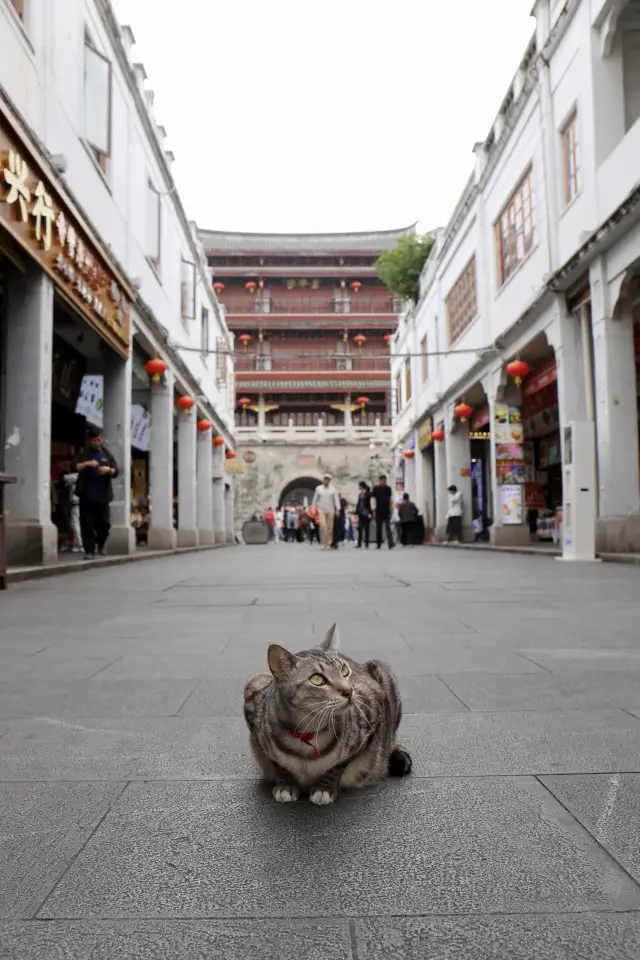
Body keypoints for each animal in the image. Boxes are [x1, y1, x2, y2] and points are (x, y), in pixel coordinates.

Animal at [242, 624, 412, 804]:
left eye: (344, 670)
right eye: (317, 679)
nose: (349, 690)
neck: (307, 733)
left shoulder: (373, 712)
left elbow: (337, 767)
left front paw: (324, 788)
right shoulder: (253, 711)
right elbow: (279, 765)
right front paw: (286, 785)